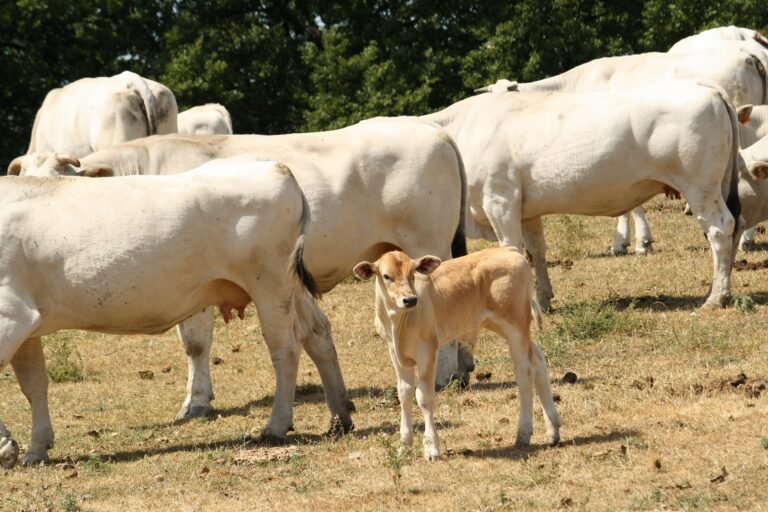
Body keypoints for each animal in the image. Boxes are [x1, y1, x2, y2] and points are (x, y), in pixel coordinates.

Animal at [0, 155, 318, 468]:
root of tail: (275, 166)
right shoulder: (27, 325)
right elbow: (34, 384)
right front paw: (35, 448)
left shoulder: (12, 314)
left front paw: (6, 447)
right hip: (290, 287)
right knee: (315, 333)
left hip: (269, 285)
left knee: (285, 350)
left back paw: (276, 426)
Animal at [9, 118, 472, 402]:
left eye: (60, 182)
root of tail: (432, 130)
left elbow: (195, 342)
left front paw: (196, 402)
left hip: (426, 241)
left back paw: (446, 374)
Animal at [352, 248, 560, 460]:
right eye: (387, 276)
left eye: (412, 274)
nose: (410, 299)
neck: (398, 323)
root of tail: (509, 250)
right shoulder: (396, 354)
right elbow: (405, 394)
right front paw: (404, 445)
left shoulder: (427, 350)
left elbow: (424, 397)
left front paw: (432, 448)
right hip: (503, 326)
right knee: (538, 360)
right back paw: (553, 430)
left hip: (515, 326)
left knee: (525, 373)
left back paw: (523, 433)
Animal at [424, 82, 764, 310]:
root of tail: (709, 89)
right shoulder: (526, 210)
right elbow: (536, 252)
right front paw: (543, 300)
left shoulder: (500, 200)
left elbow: (513, 251)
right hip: (719, 185)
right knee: (736, 225)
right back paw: (720, 290)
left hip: (700, 186)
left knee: (720, 229)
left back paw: (716, 297)